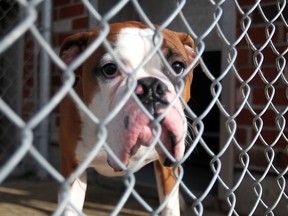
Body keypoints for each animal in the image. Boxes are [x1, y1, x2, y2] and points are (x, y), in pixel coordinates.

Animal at [59, 20, 196, 216]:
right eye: (109, 69)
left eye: (177, 66)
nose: (151, 87)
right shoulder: (73, 169)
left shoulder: (166, 169)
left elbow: (170, 205)